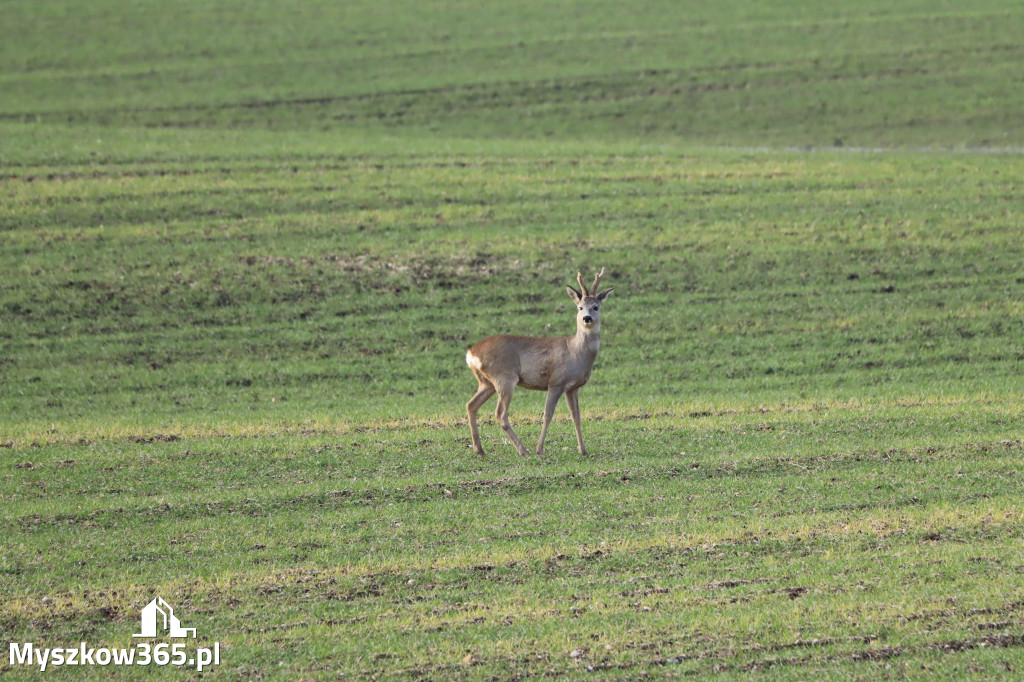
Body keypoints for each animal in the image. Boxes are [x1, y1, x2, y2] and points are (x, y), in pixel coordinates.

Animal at [466, 268, 614, 454]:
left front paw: (584, 450)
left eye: (596, 307)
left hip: (486, 382)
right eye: (580, 307)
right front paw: (540, 449)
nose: (587, 318)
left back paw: (479, 449)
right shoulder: (556, 381)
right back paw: (523, 450)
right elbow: (548, 414)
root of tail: (471, 353)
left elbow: (577, 417)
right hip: (504, 377)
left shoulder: (573, 387)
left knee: (471, 405)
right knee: (500, 414)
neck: (576, 352)